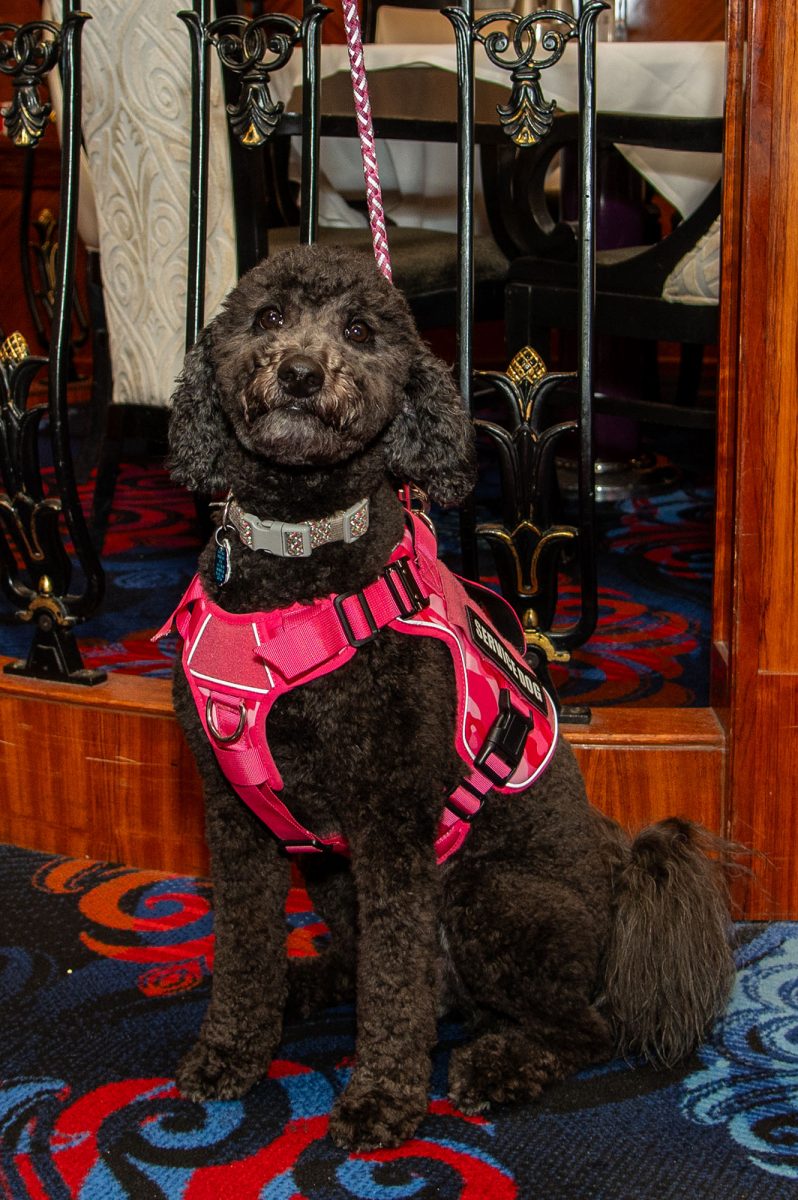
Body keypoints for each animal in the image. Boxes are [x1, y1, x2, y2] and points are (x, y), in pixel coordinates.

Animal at [165, 243, 734, 1152]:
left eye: (361, 331)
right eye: (270, 317)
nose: (298, 374)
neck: (301, 555)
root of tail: (619, 888)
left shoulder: (393, 821)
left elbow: (397, 980)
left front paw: (382, 1098)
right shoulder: (236, 812)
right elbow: (245, 947)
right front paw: (230, 1051)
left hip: (484, 895)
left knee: (582, 1025)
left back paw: (500, 1063)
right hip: (332, 869)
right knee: (379, 965)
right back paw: (311, 983)